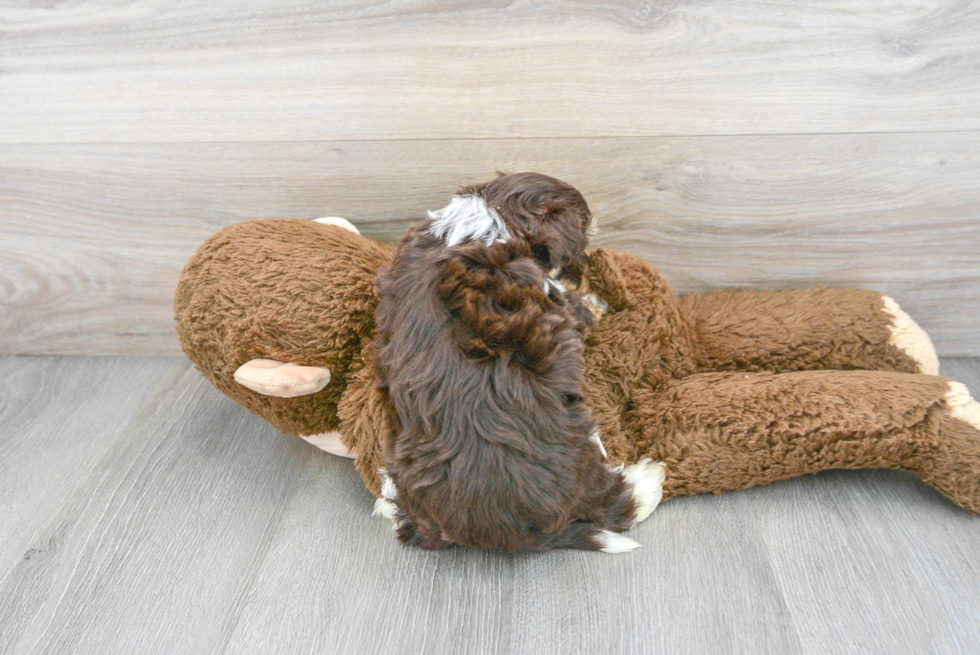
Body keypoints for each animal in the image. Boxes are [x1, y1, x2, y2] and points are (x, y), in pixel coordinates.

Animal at [372, 173, 664, 552]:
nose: (584, 265)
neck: (485, 222)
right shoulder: (559, 300)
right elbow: (582, 308)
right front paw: (595, 299)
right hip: (581, 446)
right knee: (615, 501)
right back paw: (648, 480)